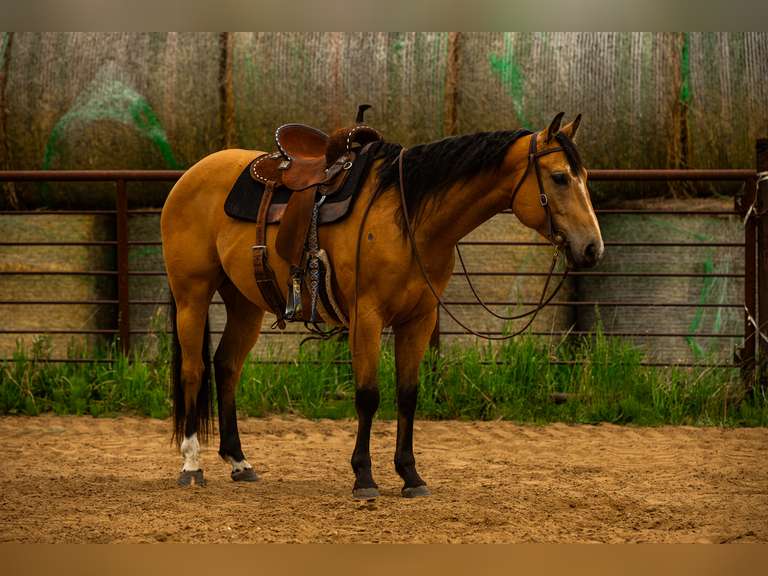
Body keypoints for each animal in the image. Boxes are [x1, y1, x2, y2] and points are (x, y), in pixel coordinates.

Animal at [160, 112, 604, 497]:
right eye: (560, 177)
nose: (592, 248)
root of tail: (189, 176)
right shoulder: (367, 318)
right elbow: (368, 395)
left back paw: (239, 462)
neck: (408, 218)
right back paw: (192, 465)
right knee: (193, 370)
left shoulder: (418, 320)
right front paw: (364, 477)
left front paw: (410, 475)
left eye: (585, 177)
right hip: (192, 294)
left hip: (245, 302)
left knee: (226, 366)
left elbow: (408, 394)